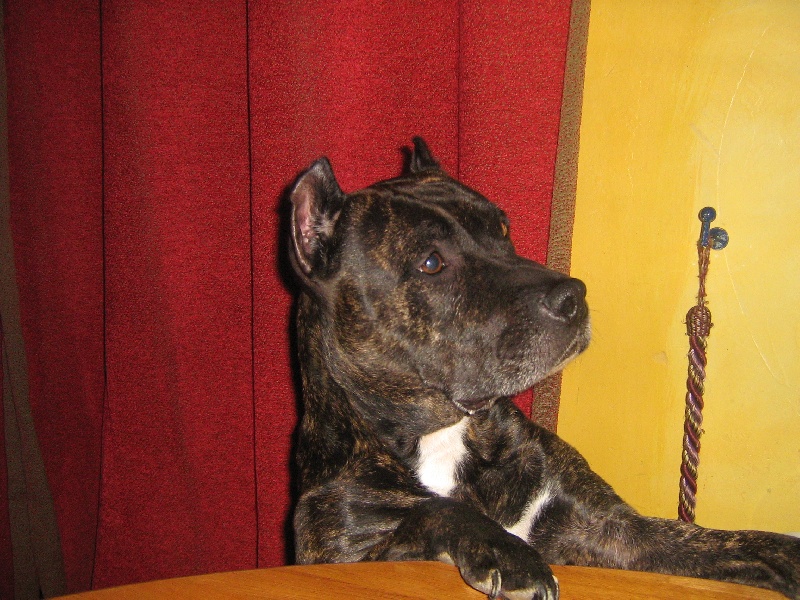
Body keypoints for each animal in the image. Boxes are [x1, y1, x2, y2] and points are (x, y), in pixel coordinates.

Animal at [288, 137, 799, 599]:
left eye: (503, 227)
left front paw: (781, 552)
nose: (573, 296)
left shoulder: (606, 526)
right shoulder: (341, 546)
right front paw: (507, 552)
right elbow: (429, 514)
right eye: (431, 263)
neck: (445, 437)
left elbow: (713, 541)